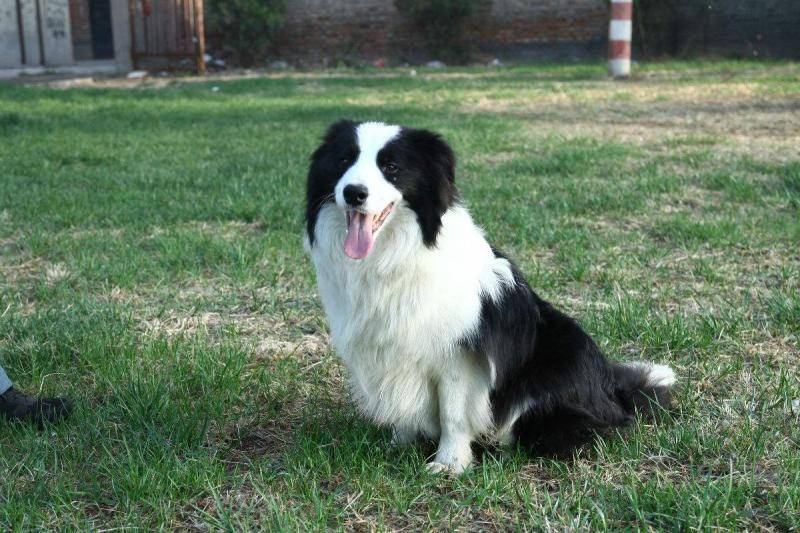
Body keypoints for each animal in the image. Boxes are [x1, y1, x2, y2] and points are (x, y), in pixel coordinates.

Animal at [304, 121, 676, 474]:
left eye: (391, 167)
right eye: (344, 160)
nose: (353, 193)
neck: (396, 253)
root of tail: (612, 391)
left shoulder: (459, 354)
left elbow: (453, 413)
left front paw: (449, 464)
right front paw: (399, 444)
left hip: (557, 358)